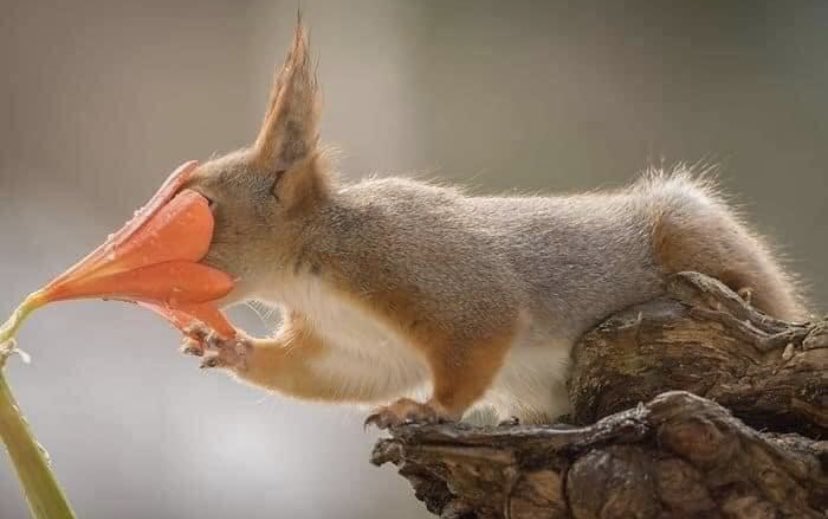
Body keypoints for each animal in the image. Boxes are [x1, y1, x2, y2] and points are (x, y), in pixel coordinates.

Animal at [181, 25, 807, 428]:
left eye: (205, 205)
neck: (308, 267)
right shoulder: (352, 346)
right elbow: (325, 375)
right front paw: (229, 348)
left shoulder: (418, 263)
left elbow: (481, 332)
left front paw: (430, 409)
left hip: (689, 236)